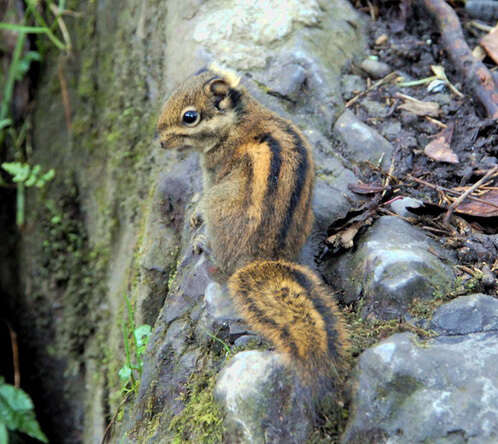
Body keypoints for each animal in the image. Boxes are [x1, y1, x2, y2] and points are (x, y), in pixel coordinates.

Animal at [158, 66, 348, 402]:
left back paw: (205, 246)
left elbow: (202, 196)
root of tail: (260, 259)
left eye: (189, 117)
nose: (160, 141)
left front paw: (195, 214)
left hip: (221, 208)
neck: (237, 119)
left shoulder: (213, 173)